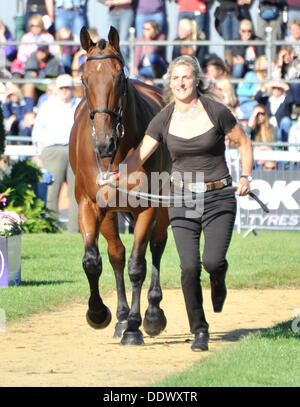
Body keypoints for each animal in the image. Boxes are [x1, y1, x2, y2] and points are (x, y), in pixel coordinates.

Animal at [69, 26, 170, 344]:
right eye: (84, 79)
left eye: (119, 78)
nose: (104, 142)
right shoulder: (89, 205)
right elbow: (93, 260)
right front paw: (98, 313)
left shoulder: (148, 208)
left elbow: (138, 265)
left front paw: (136, 326)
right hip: (110, 214)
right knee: (116, 254)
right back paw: (122, 317)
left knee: (156, 247)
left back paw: (151, 314)